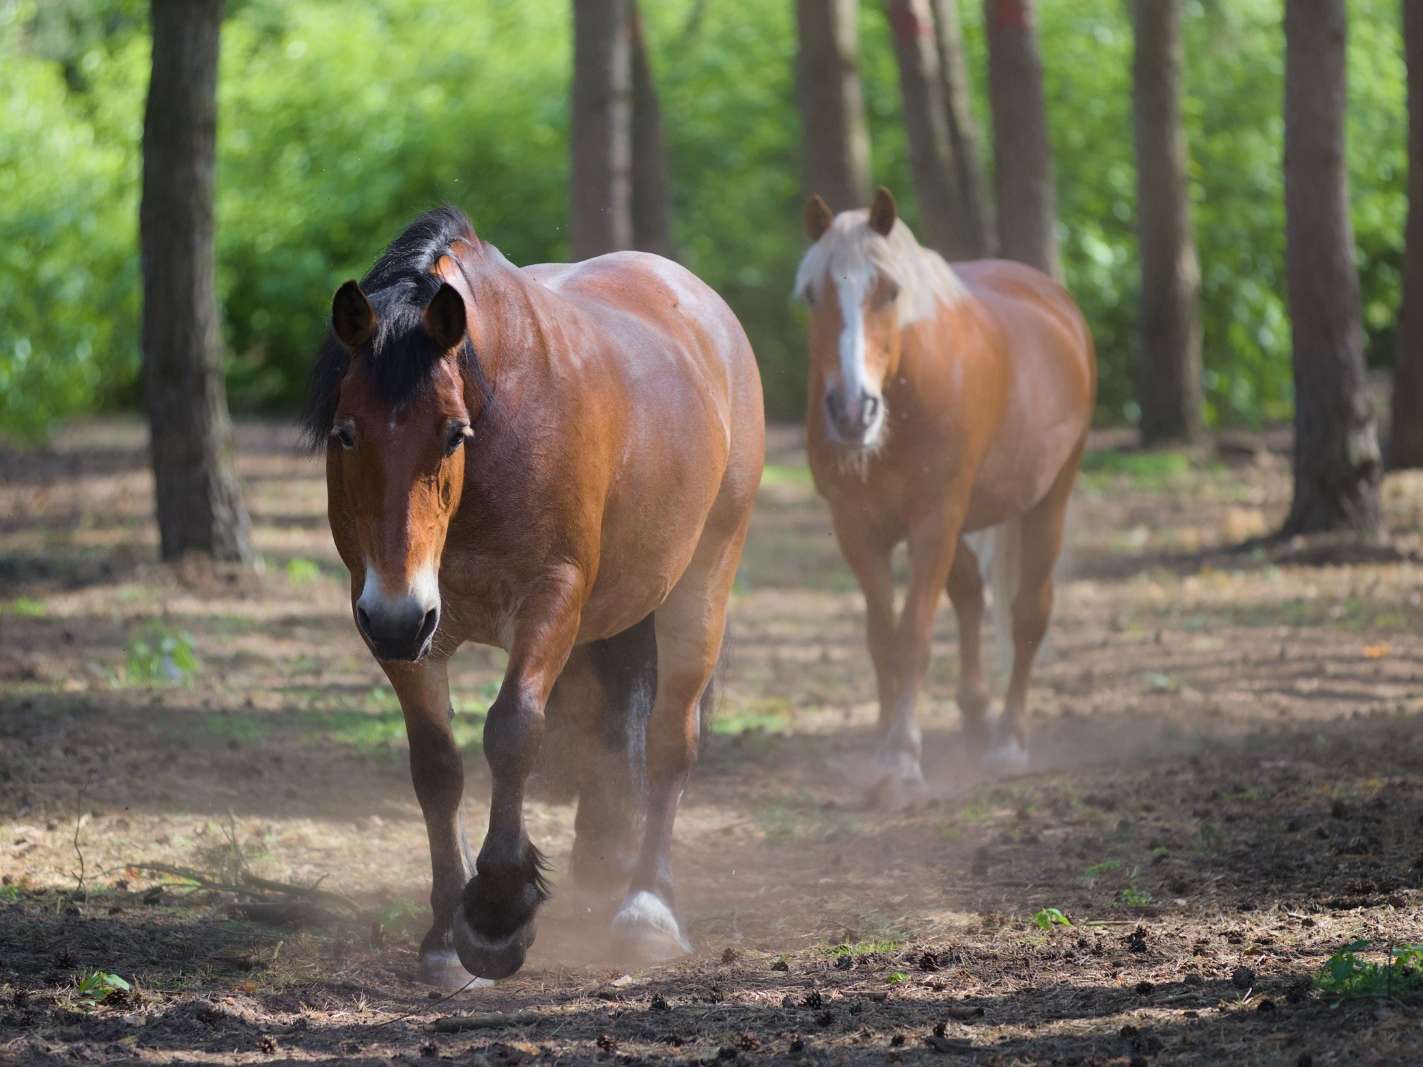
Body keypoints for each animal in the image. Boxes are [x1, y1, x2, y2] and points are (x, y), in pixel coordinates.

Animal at [303, 206, 764, 984]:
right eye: (345, 433)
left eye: (452, 433)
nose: (398, 616)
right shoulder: (399, 623)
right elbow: (436, 765)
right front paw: (441, 935)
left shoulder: (550, 600)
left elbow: (513, 730)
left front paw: (495, 915)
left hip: (702, 583)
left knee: (671, 740)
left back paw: (647, 908)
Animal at [795, 188, 1095, 808]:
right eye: (814, 294)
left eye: (890, 291)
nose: (852, 411)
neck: (907, 392)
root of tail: (1056, 304)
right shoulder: (859, 528)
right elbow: (882, 640)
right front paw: (883, 747)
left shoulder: (934, 520)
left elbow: (913, 636)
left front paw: (902, 762)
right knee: (970, 594)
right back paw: (977, 718)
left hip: (1047, 499)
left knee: (1028, 614)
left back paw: (1008, 741)